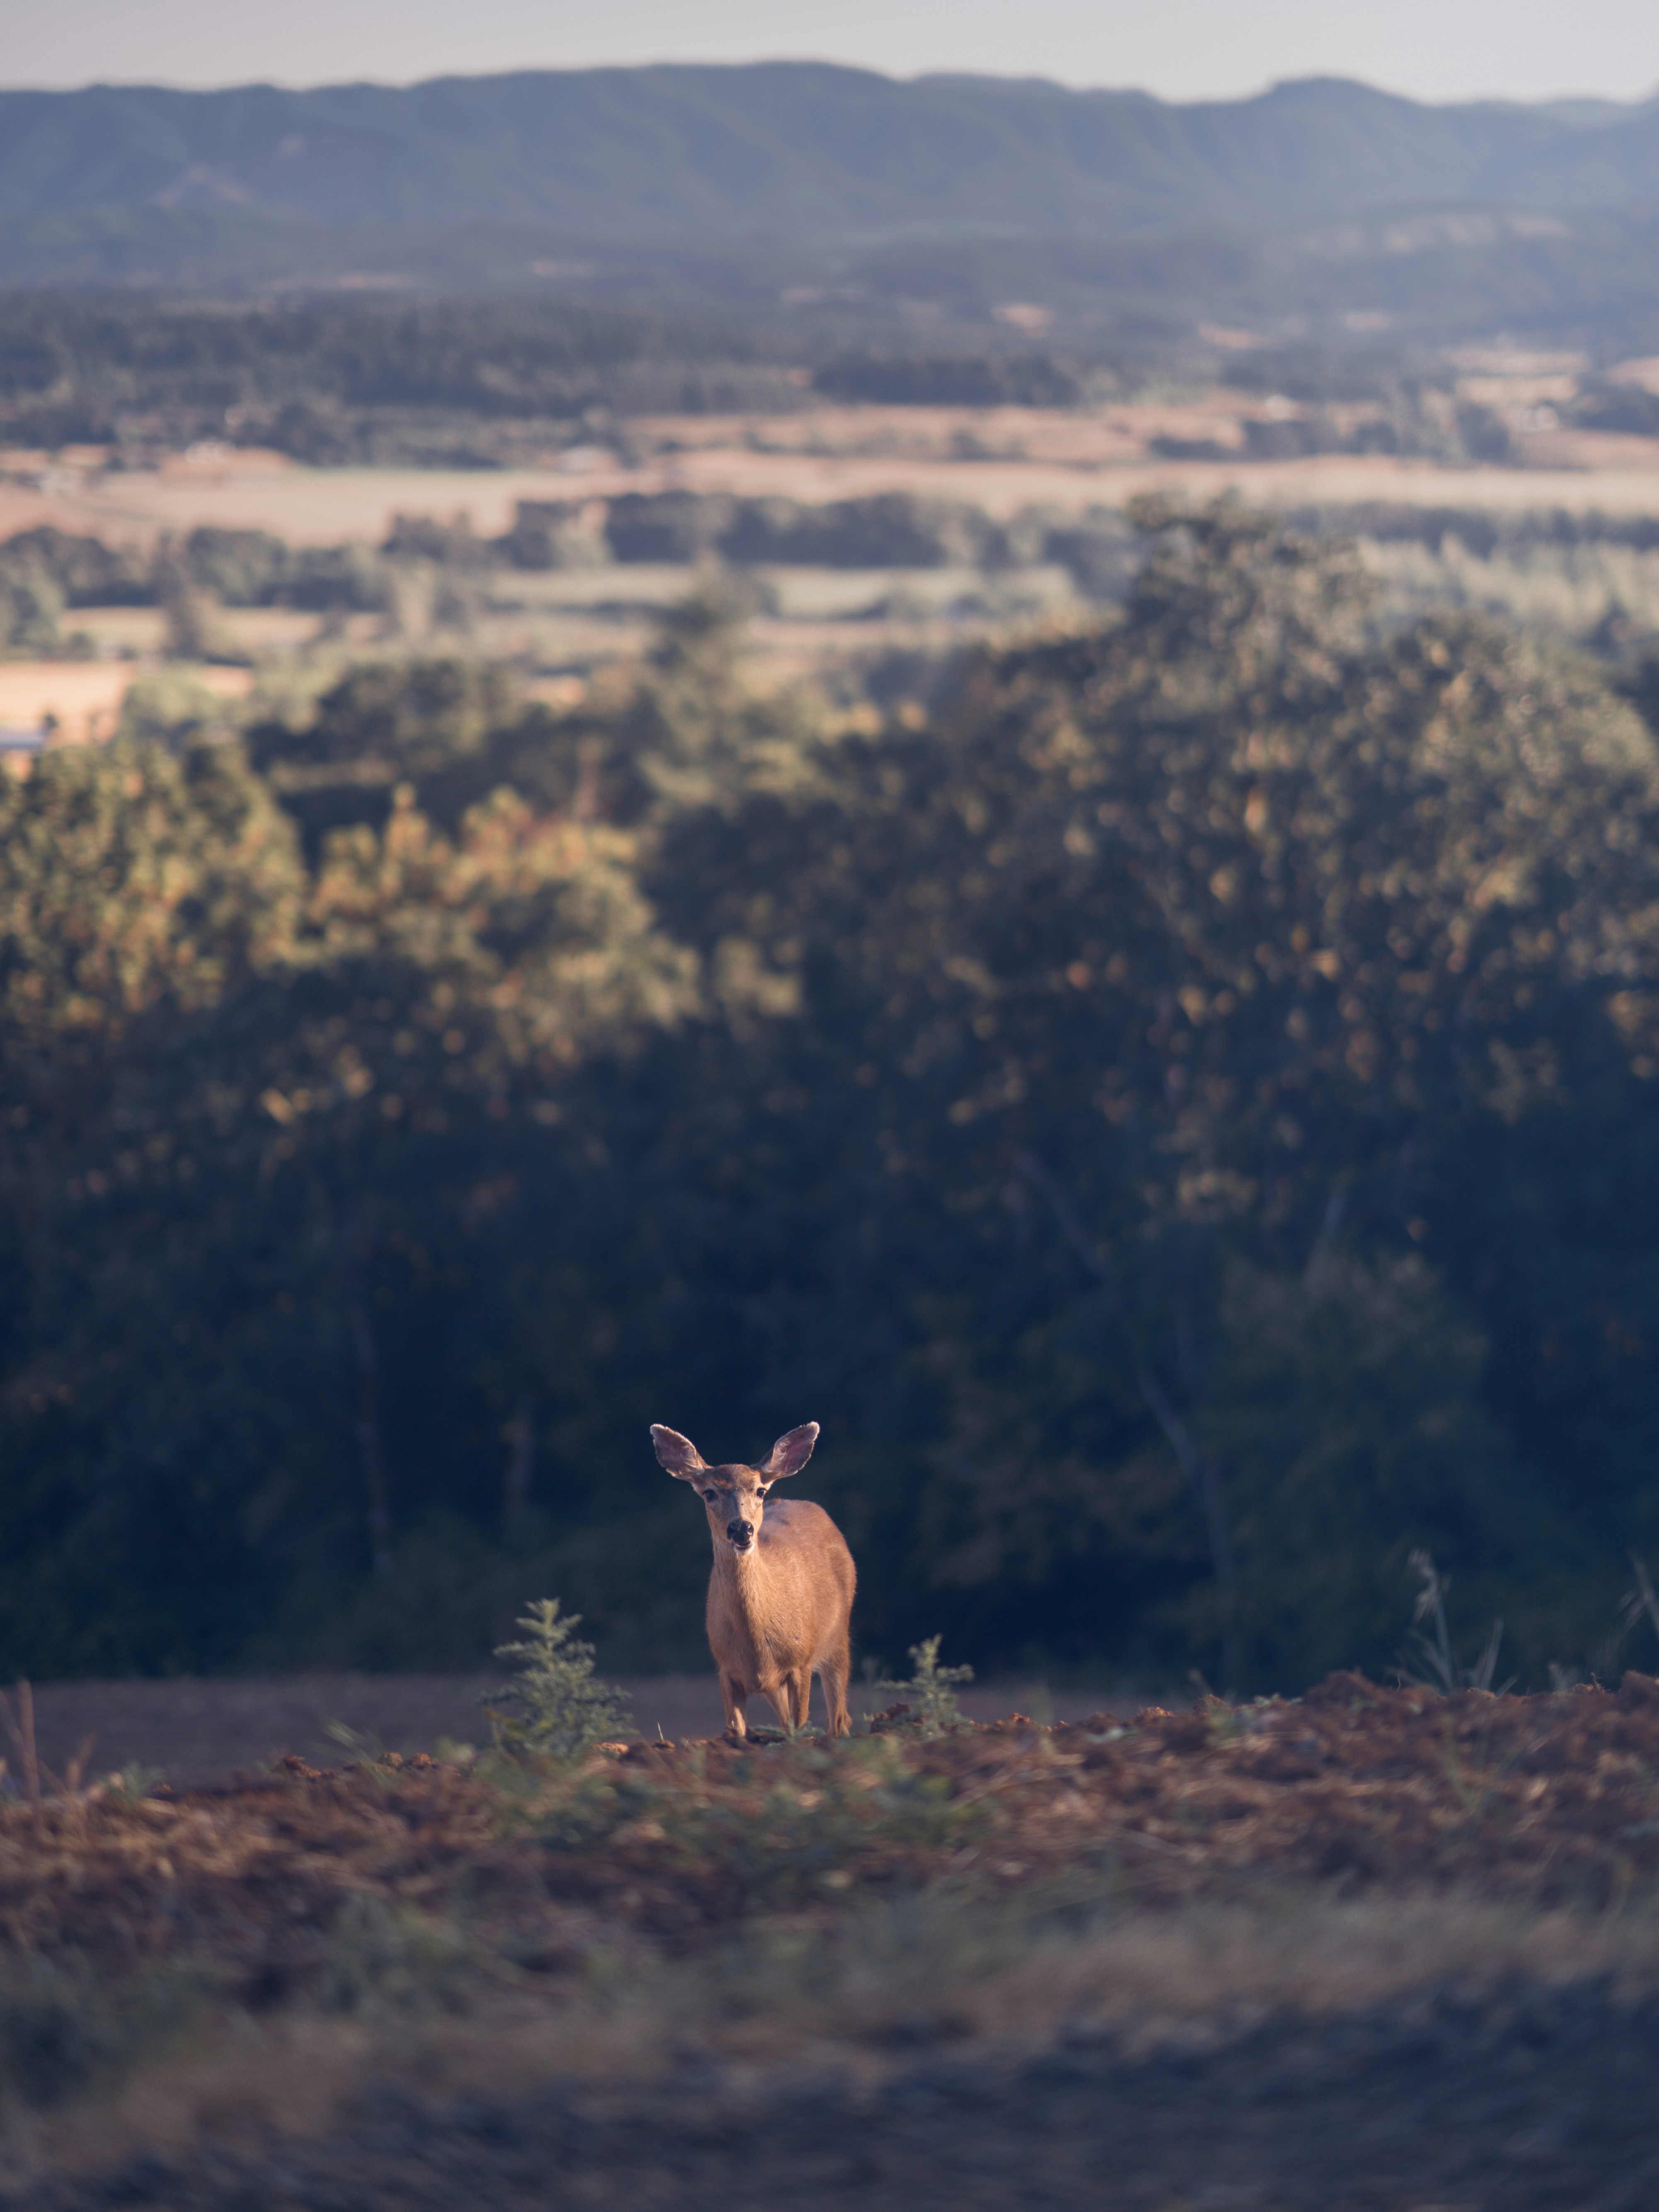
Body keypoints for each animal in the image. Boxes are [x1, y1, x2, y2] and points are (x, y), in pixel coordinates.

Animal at [650, 1416, 858, 1743]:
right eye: (709, 1493)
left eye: (760, 1491)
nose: (741, 1528)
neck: (757, 1642)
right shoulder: (726, 1669)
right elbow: (738, 1732)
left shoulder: (801, 1661)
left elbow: (801, 1726)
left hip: (838, 1636)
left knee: (839, 1718)